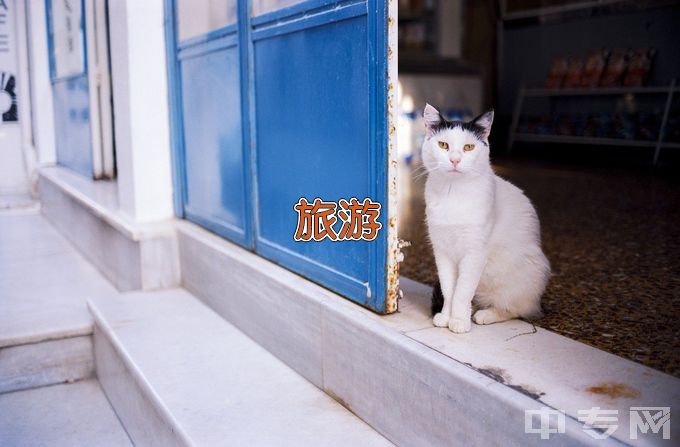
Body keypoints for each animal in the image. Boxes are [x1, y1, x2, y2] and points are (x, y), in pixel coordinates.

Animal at [422, 104, 548, 332]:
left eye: (468, 147)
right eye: (443, 145)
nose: (455, 159)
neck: (453, 193)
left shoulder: (474, 254)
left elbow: (462, 291)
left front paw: (459, 322)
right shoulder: (442, 253)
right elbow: (449, 289)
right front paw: (445, 317)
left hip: (521, 278)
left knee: (516, 310)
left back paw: (484, 314)